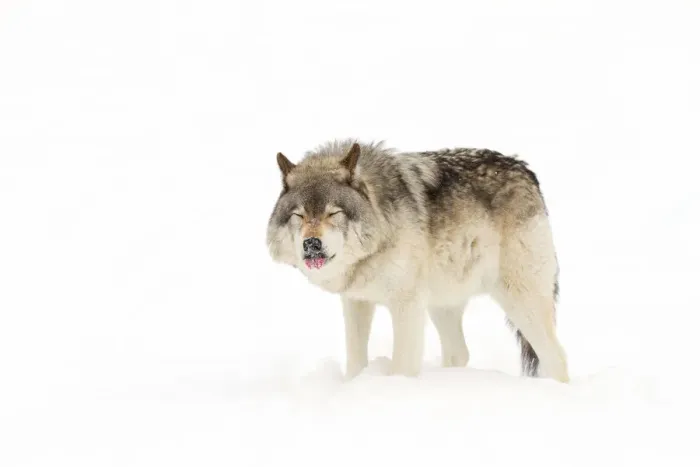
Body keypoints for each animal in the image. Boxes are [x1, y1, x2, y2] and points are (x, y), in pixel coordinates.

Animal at [266, 139, 569, 383]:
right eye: (299, 215)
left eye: (333, 213)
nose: (311, 244)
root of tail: (524, 169)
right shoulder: (356, 301)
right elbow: (355, 361)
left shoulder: (406, 305)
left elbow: (401, 365)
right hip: (441, 304)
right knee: (459, 353)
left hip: (520, 299)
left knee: (557, 356)